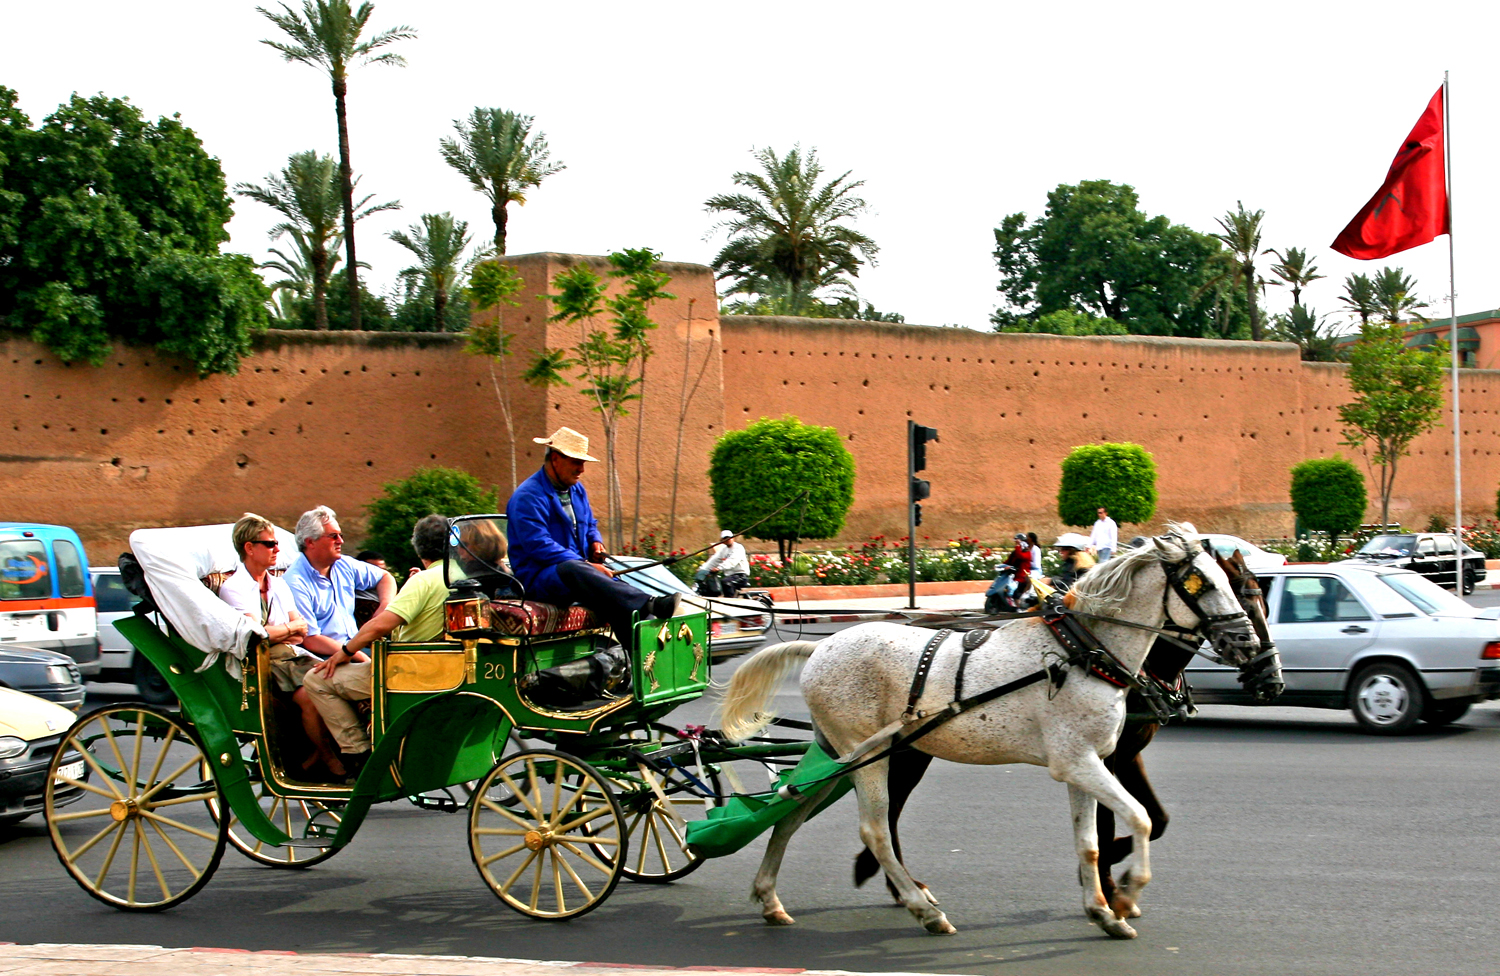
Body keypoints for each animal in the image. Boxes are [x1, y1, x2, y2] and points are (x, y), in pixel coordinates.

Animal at [720, 521, 1260, 941]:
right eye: (1204, 583)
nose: (1248, 644)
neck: (1083, 651)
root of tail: (820, 647)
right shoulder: (1077, 762)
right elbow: (1142, 820)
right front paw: (1126, 892)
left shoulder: (1087, 764)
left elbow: (1089, 842)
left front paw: (1102, 910)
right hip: (866, 753)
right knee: (875, 828)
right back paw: (923, 908)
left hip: (842, 753)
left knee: (790, 813)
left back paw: (770, 897)